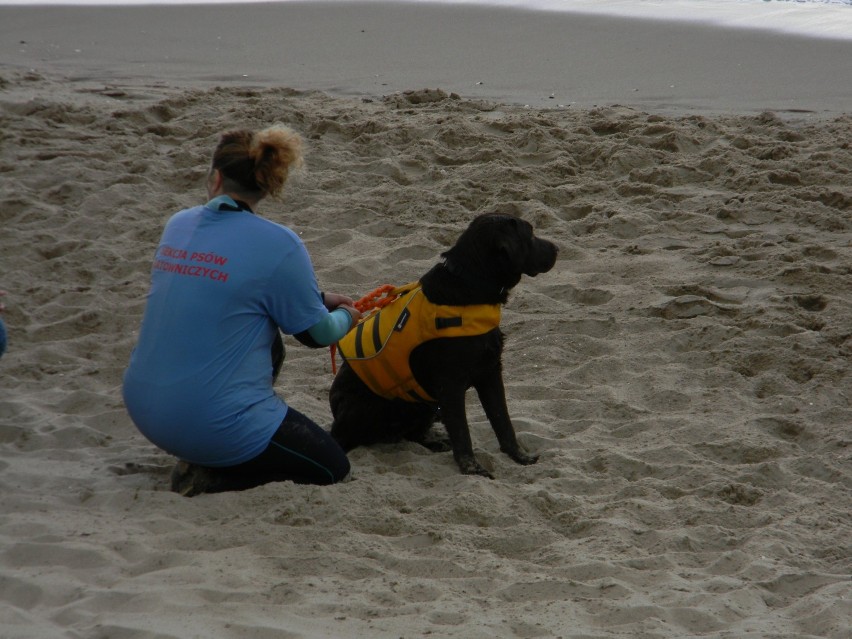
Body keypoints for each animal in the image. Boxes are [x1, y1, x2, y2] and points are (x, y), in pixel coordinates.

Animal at [328, 212, 560, 478]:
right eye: (529, 233)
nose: (557, 249)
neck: (471, 283)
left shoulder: (490, 372)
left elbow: (503, 420)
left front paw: (519, 456)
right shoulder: (450, 384)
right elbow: (462, 431)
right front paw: (472, 469)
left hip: (424, 403)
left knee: (411, 433)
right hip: (371, 405)